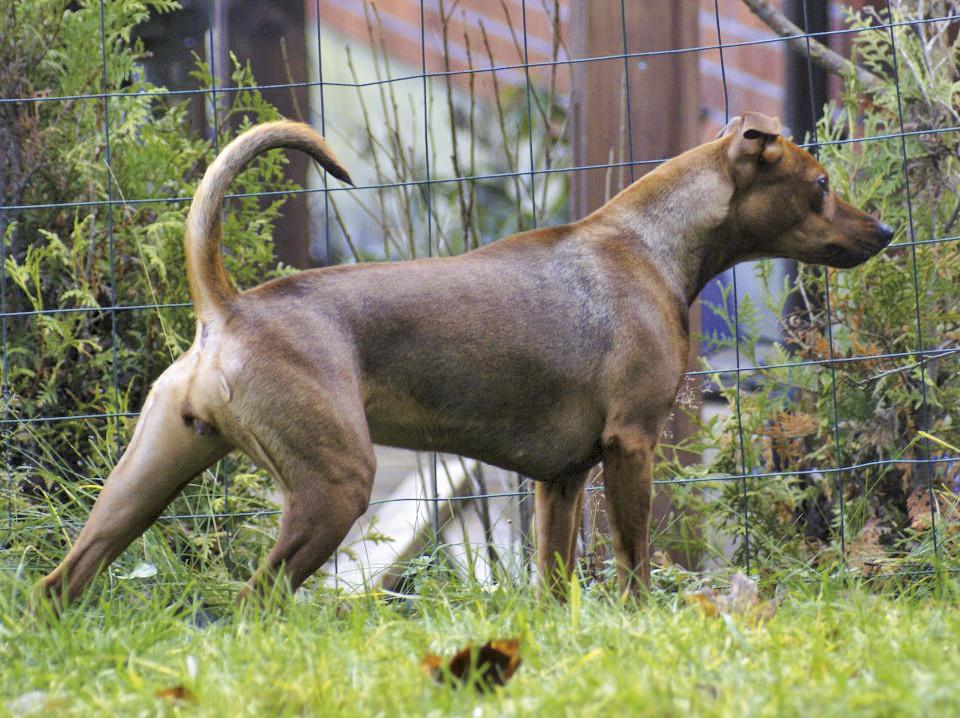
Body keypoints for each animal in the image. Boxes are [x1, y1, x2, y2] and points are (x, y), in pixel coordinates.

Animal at [37, 112, 892, 608]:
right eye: (821, 184)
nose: (884, 233)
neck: (650, 243)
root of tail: (230, 309)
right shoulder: (631, 448)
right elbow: (635, 563)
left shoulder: (561, 481)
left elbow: (556, 583)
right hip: (332, 489)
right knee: (253, 601)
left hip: (141, 485)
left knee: (60, 583)